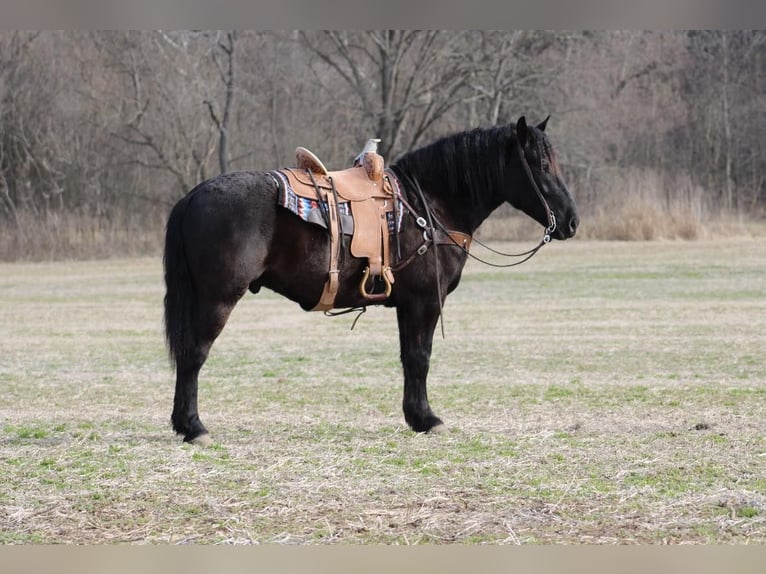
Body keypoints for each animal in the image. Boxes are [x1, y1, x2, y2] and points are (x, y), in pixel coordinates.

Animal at [165, 117, 580, 446]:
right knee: (194, 355)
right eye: (542, 164)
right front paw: (427, 419)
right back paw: (194, 427)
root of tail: (191, 197)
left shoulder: (408, 305)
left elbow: (409, 357)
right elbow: (420, 357)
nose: (571, 221)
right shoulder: (425, 301)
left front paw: (416, 416)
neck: (430, 204)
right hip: (216, 299)